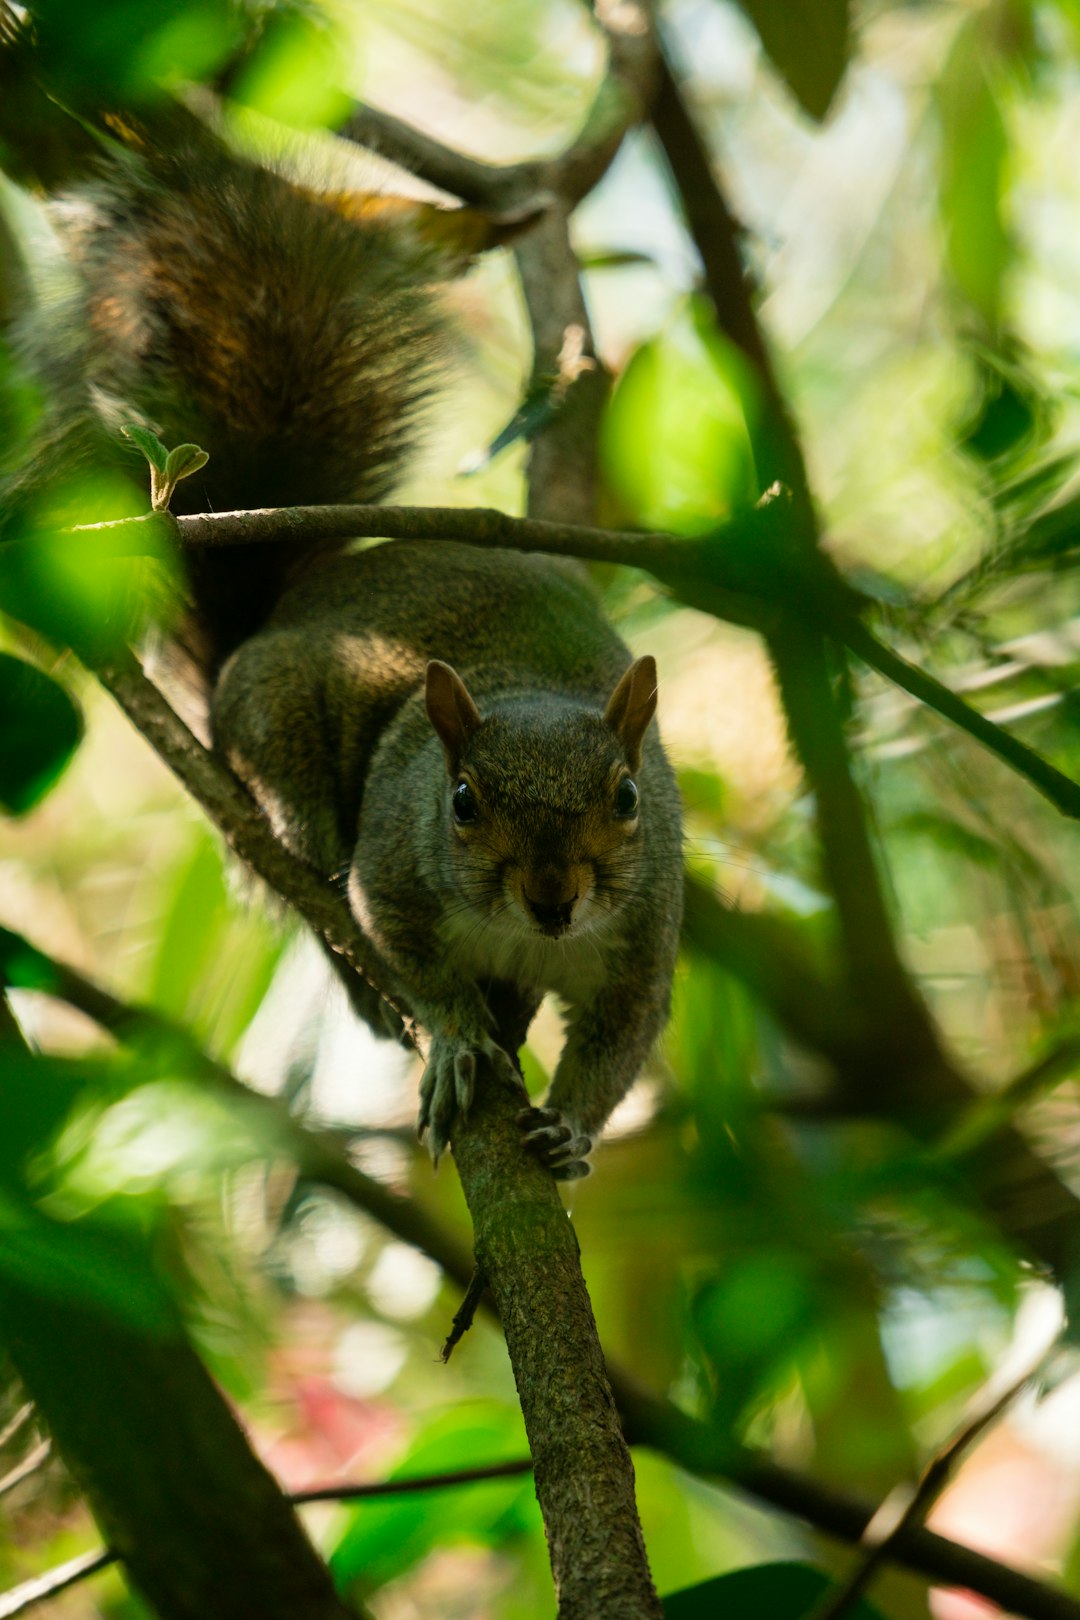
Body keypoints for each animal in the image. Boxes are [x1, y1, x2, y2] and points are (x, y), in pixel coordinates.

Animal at [6, 110, 683, 1179]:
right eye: (460, 800)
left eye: (626, 796)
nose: (552, 899)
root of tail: (274, 617)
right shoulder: (396, 877)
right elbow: (417, 964)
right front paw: (456, 1042)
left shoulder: (643, 938)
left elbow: (619, 1045)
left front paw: (571, 1128)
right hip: (270, 718)